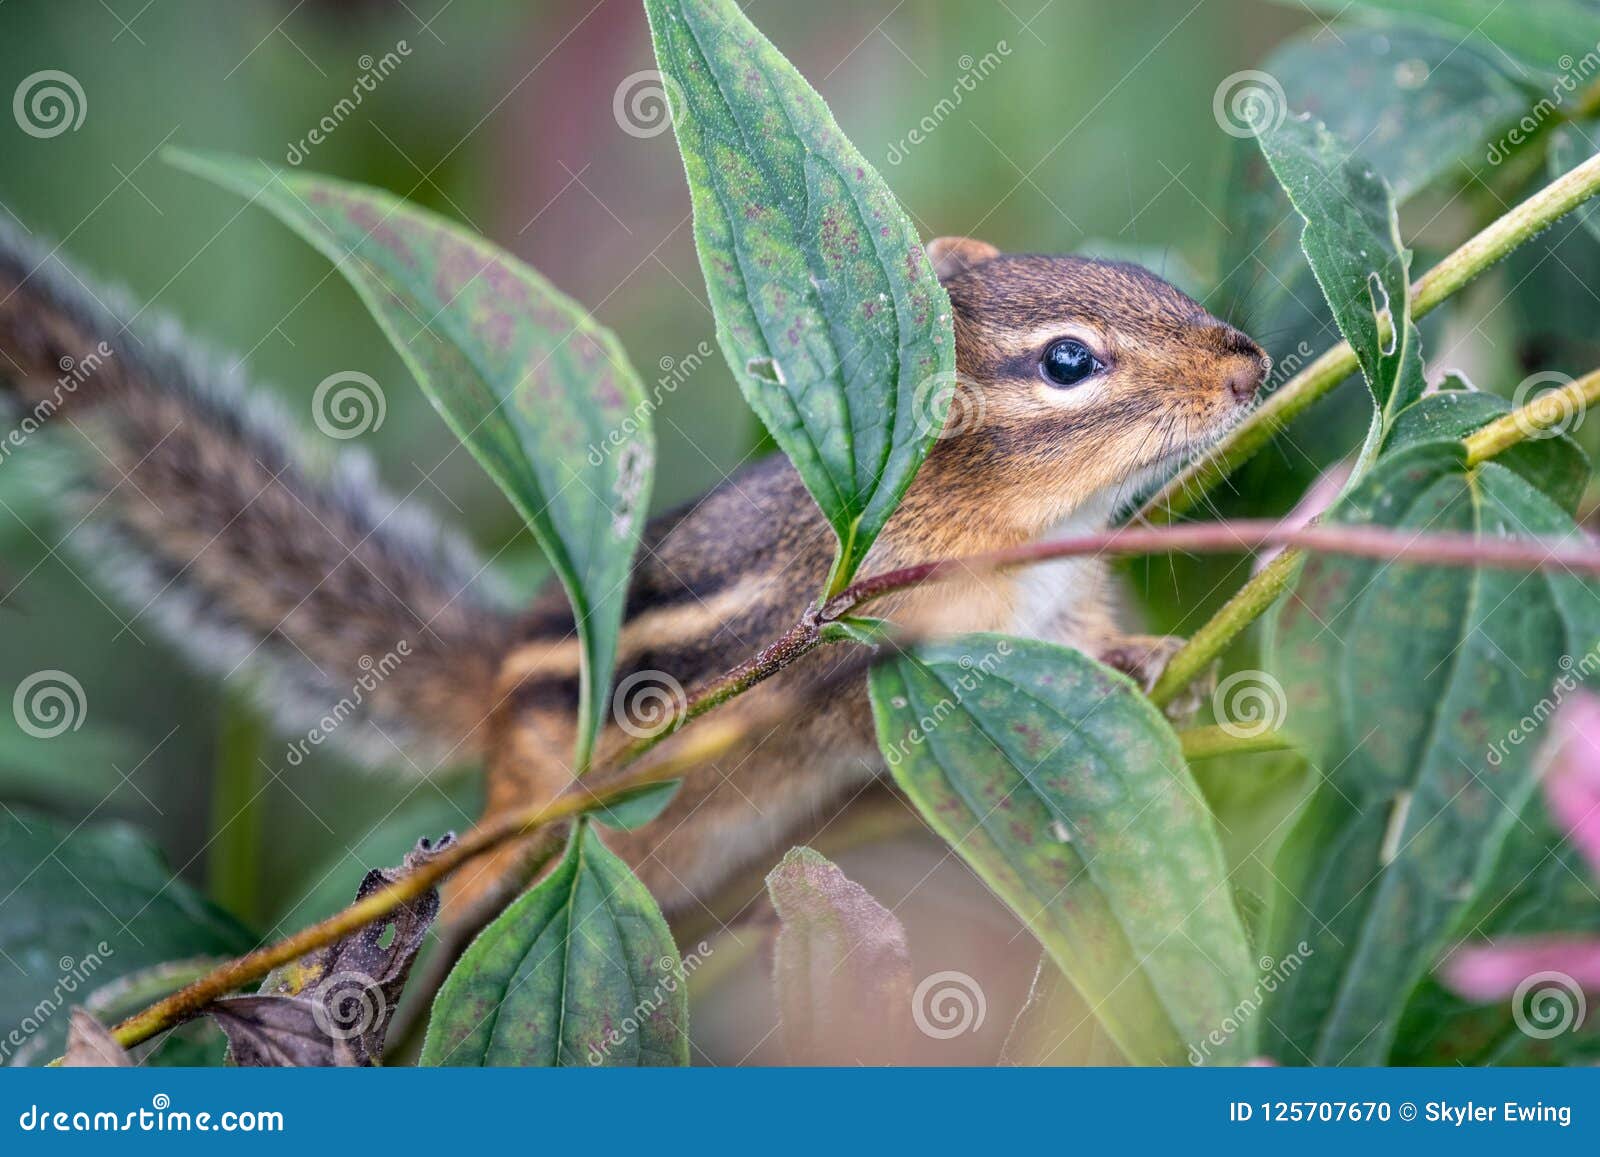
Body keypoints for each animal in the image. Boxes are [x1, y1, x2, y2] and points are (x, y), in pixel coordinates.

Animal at [0, 225, 1267, 918]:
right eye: (1069, 361)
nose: (1251, 365)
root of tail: (500, 678)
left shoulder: (1071, 583)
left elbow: (1095, 636)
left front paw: (1155, 656)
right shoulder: (859, 648)